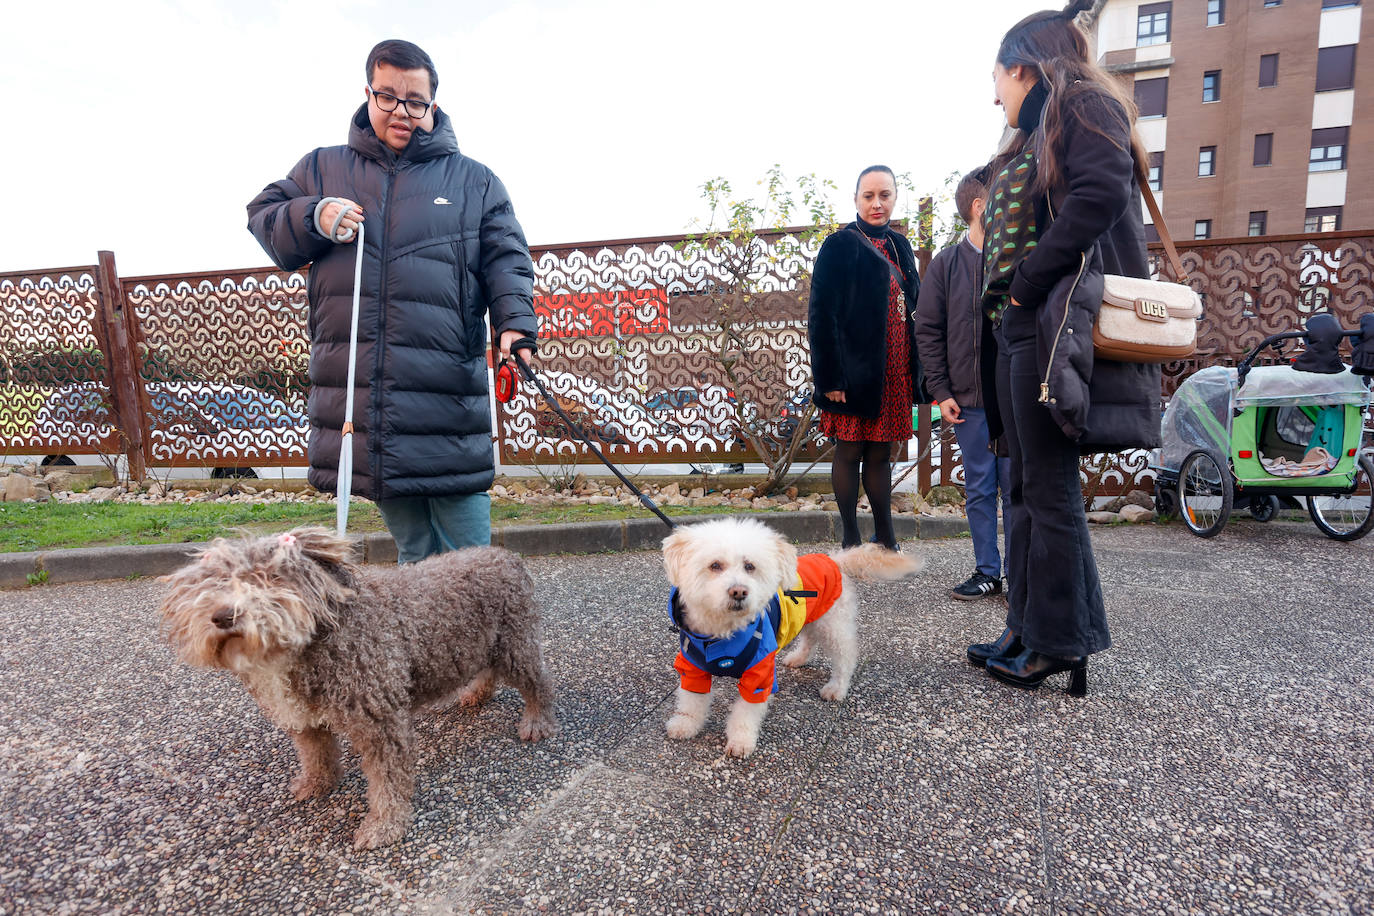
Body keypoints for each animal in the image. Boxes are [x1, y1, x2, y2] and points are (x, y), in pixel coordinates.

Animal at [155, 530, 552, 851]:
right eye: (213, 582)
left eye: (269, 576)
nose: (224, 616)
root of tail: (505, 555)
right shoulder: (304, 717)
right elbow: (315, 754)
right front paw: (318, 784)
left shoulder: (381, 722)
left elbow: (387, 782)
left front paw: (384, 827)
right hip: (480, 642)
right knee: (486, 670)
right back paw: (477, 693)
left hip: (514, 644)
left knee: (539, 683)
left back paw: (538, 722)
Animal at [659, 516, 917, 758]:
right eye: (715, 565)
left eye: (750, 566)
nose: (739, 591)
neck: (723, 633)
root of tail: (833, 560)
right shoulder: (692, 667)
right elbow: (691, 700)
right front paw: (685, 724)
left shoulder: (760, 674)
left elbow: (745, 711)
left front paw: (741, 740)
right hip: (809, 617)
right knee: (809, 640)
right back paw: (798, 659)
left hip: (833, 624)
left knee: (845, 656)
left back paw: (837, 688)